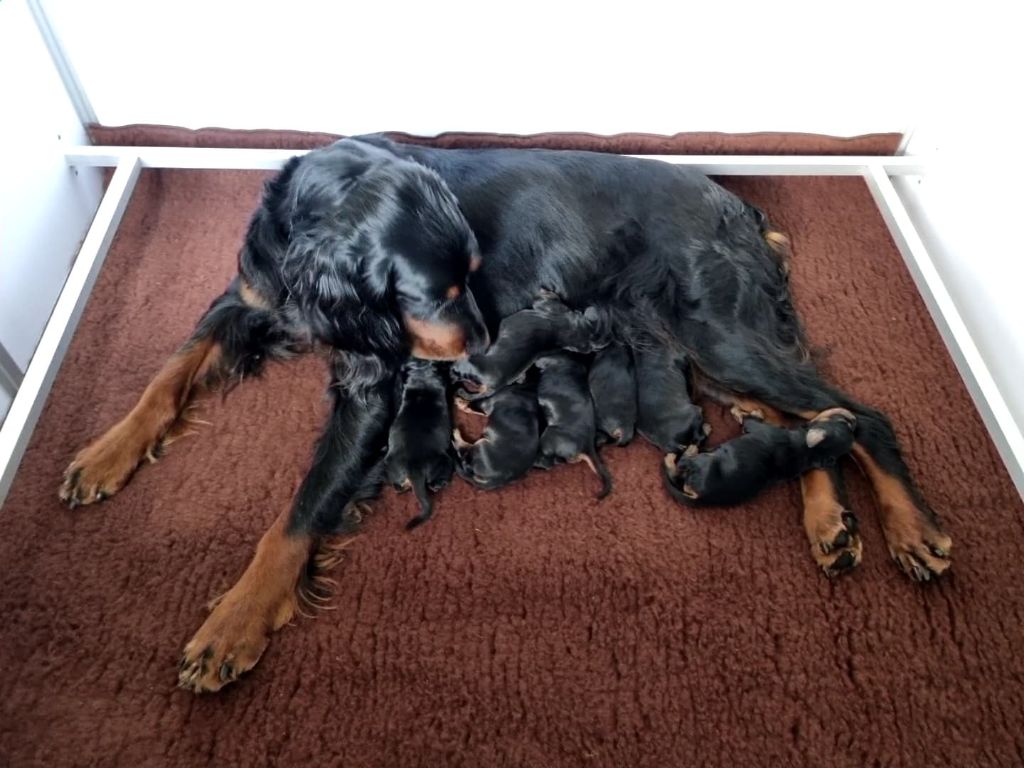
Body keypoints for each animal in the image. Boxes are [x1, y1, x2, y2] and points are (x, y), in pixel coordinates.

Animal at [385, 360, 452, 528]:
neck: (422, 379)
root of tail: (414, 468)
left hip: (389, 464)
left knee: (398, 487)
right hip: (445, 460)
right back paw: (439, 484)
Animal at [663, 409, 856, 512]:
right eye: (843, 423)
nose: (854, 421)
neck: (807, 451)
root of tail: (699, 496)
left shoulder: (754, 426)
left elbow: (748, 418)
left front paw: (741, 411)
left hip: (701, 461)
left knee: (680, 464)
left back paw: (683, 451)